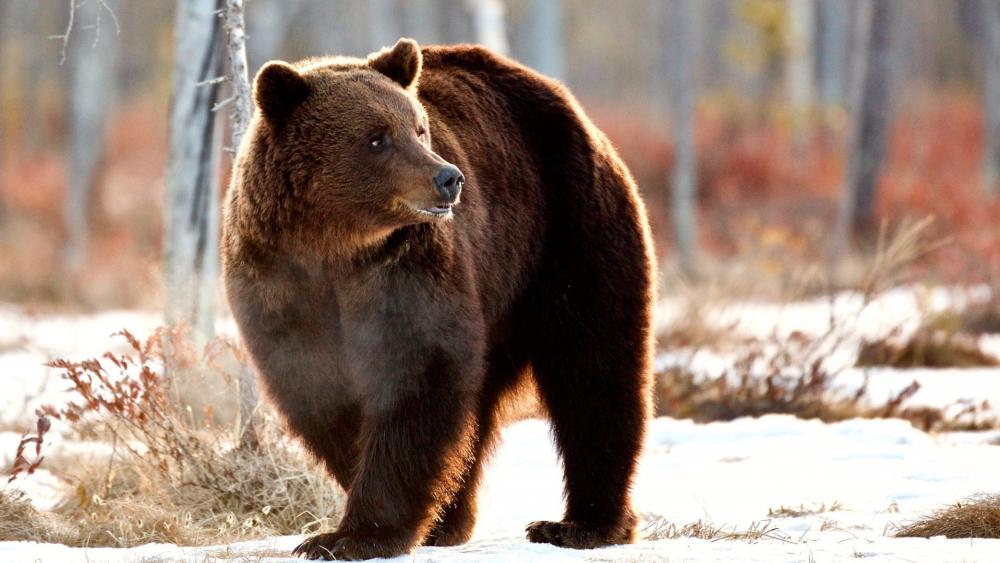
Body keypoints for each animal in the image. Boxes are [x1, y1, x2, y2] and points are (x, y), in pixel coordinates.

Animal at [221, 38, 655, 560]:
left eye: (419, 127)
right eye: (376, 137)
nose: (448, 178)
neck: (335, 250)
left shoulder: (407, 270)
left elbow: (418, 377)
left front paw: (357, 533)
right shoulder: (280, 286)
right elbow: (322, 392)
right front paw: (379, 521)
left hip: (568, 232)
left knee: (593, 367)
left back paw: (580, 524)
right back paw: (457, 517)